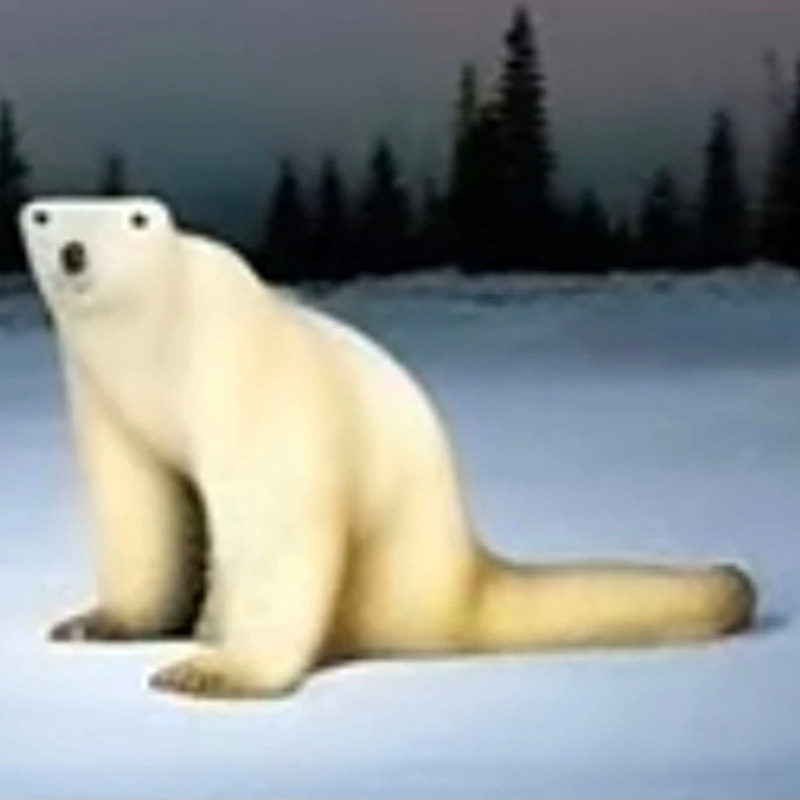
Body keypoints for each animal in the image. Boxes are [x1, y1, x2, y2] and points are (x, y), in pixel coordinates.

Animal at [18, 197, 756, 700]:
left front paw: (211, 669)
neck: (158, 347)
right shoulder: (108, 401)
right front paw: (94, 623)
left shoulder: (245, 373)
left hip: (388, 568)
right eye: (44, 217)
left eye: (134, 220)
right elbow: (142, 502)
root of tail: (462, 572)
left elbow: (278, 515)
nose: (74, 252)